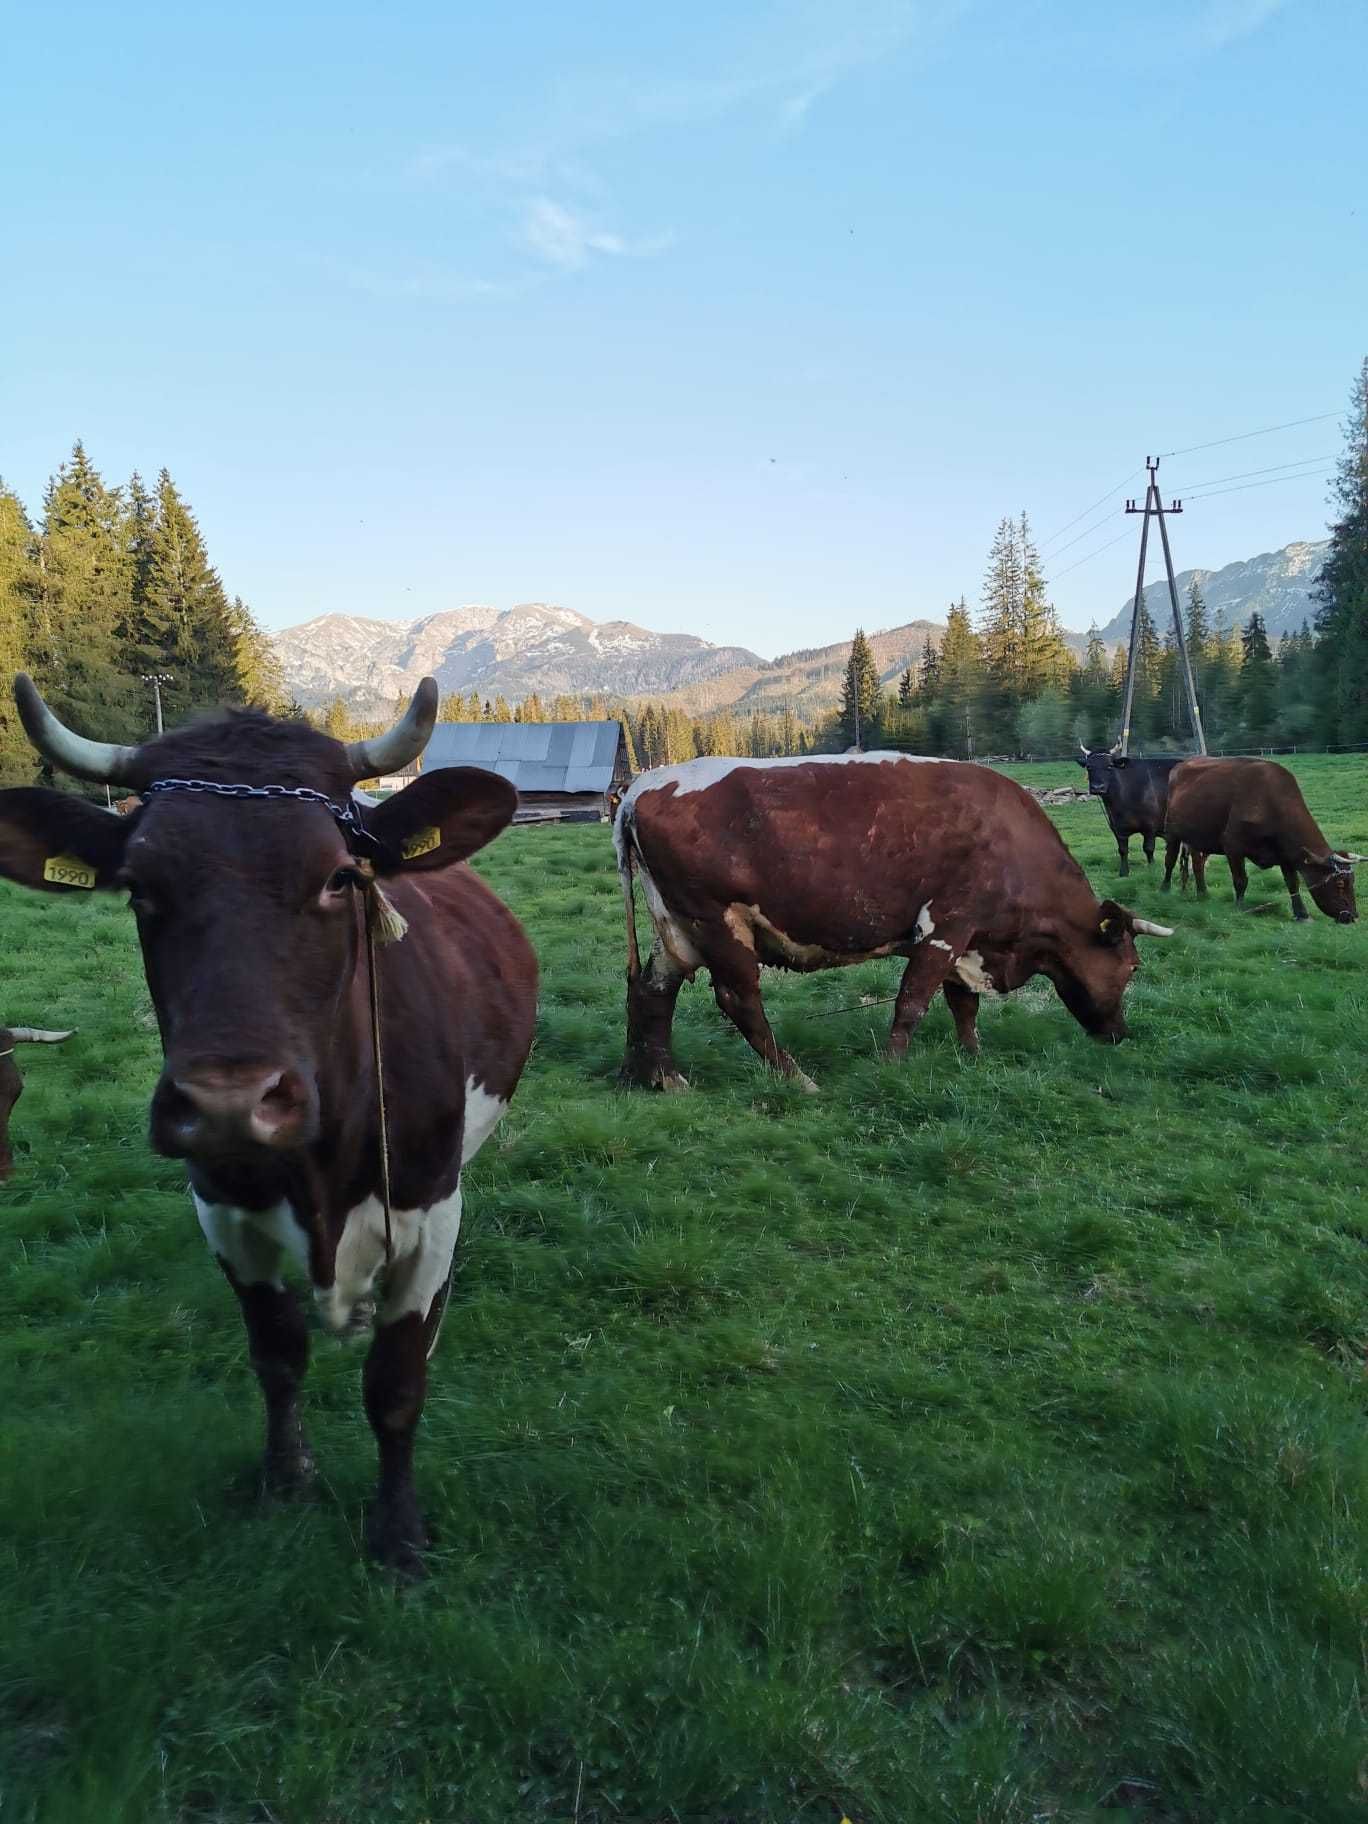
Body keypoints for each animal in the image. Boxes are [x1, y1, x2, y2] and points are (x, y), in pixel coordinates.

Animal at [616, 751, 1174, 1087]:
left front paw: (973, 1058)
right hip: (719, 924)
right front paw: (893, 1068)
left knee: (651, 992)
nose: (1120, 1034)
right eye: (1132, 968)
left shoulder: (969, 940)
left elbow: (963, 1005)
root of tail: (641, 787)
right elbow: (913, 1002)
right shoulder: (946, 928)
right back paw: (798, 1080)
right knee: (739, 1001)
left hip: (677, 930)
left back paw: (658, 1078)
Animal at [1079, 747, 1189, 875]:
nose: (1097, 788)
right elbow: (1122, 850)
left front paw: (1151, 867)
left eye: (1110, 766)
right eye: (1089, 767)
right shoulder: (1117, 828)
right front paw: (1124, 872)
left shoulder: (1150, 826)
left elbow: (1148, 848)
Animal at [1160, 755, 1364, 926]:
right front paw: (1240, 908)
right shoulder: (1233, 846)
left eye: (1352, 880)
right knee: (1169, 861)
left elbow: (1293, 883)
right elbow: (1241, 880)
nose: (1352, 916)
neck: (1270, 801)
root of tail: (1183, 764)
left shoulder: (1285, 853)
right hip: (1172, 833)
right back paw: (1165, 889)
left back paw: (1203, 893)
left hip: (1196, 839)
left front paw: (1302, 914)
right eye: (1340, 884)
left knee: (1197, 864)